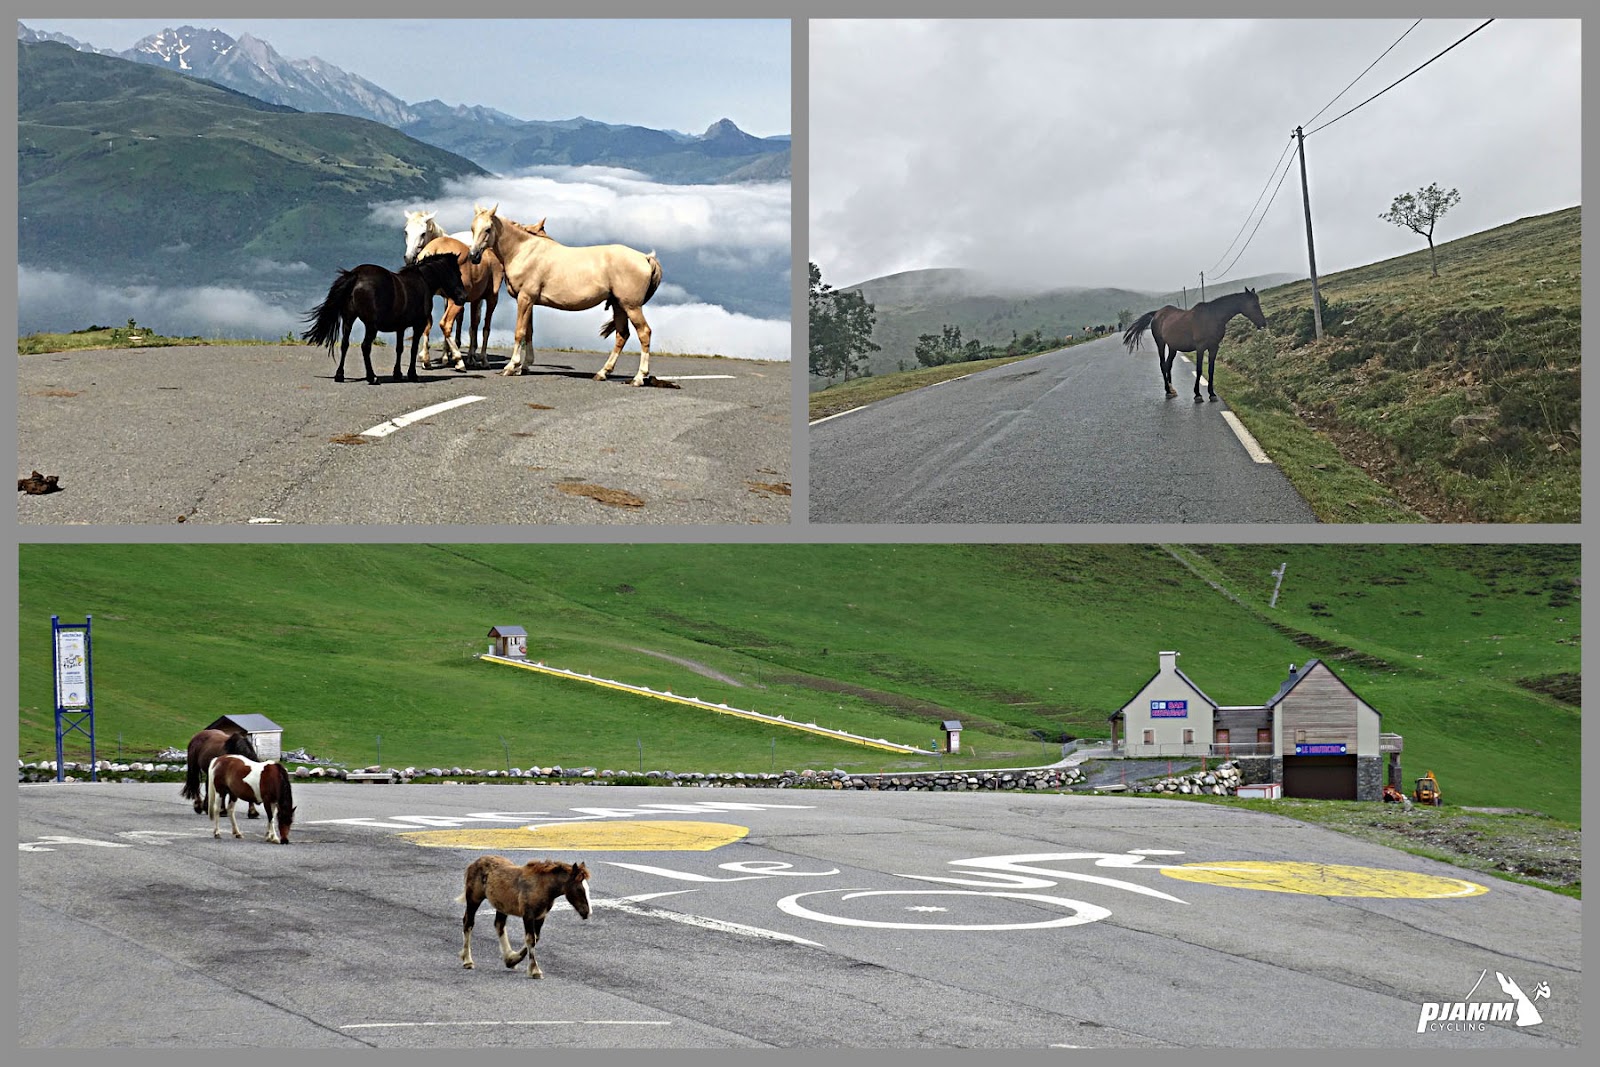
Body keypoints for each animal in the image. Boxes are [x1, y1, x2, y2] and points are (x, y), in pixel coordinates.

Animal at [300, 252, 467, 385]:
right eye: (458, 274)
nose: (463, 297)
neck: (423, 281)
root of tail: (356, 275)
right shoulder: (418, 325)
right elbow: (413, 349)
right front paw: (412, 374)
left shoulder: (400, 327)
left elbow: (399, 349)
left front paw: (398, 373)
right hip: (370, 326)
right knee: (365, 347)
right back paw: (372, 377)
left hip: (349, 320)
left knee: (345, 344)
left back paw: (340, 375)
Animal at [454, 857, 592, 979]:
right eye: (579, 889)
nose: (587, 912)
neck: (542, 886)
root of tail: (474, 863)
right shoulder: (528, 916)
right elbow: (531, 939)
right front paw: (535, 971)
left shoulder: (541, 916)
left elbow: (536, 938)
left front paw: (512, 961)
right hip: (474, 900)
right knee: (468, 923)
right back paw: (467, 960)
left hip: (502, 906)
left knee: (499, 925)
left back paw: (508, 956)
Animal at [467, 201, 665, 383]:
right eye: (472, 228)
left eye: (488, 229)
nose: (473, 256)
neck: (523, 251)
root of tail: (645, 257)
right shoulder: (529, 302)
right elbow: (529, 332)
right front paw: (524, 366)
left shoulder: (525, 299)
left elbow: (519, 332)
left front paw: (511, 367)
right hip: (619, 305)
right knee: (622, 335)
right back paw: (603, 372)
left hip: (631, 306)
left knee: (644, 333)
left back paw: (639, 377)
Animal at [1120, 289, 1267, 403]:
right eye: (1253, 305)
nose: (1263, 324)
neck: (1212, 317)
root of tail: (1157, 313)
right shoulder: (1200, 347)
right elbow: (1199, 370)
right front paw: (1198, 394)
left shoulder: (1214, 347)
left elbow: (1211, 370)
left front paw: (1212, 394)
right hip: (1160, 344)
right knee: (1163, 365)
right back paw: (1167, 391)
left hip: (1173, 347)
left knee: (1168, 364)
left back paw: (1172, 389)